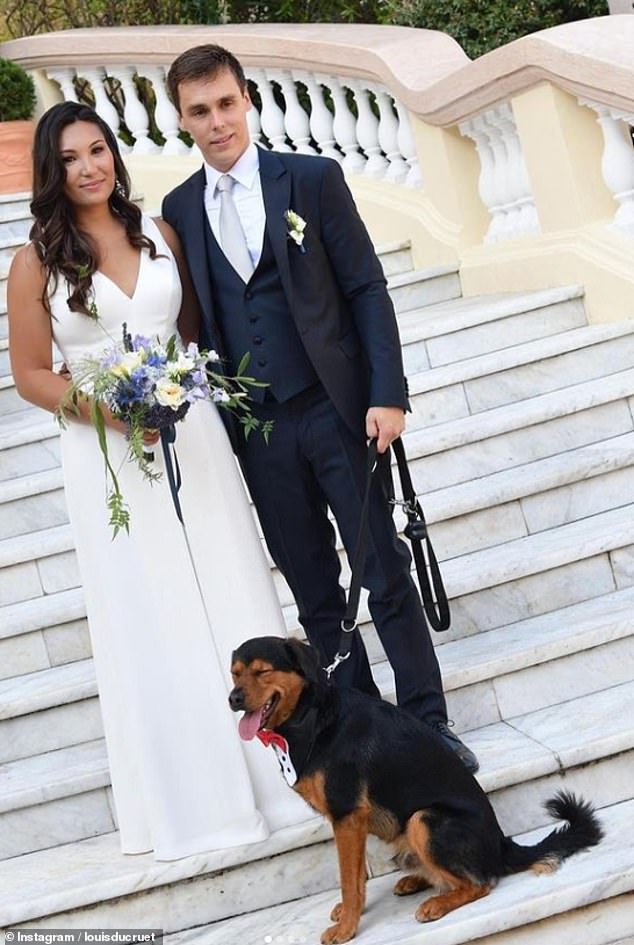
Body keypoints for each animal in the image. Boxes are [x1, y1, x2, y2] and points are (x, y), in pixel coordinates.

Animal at [228, 636, 604, 944]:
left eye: (262, 671)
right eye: (234, 674)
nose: (233, 699)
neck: (312, 714)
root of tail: (502, 846)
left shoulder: (347, 816)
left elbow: (349, 880)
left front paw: (347, 928)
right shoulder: (351, 822)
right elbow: (356, 877)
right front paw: (351, 914)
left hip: (424, 819)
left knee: (481, 881)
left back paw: (436, 903)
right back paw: (417, 881)